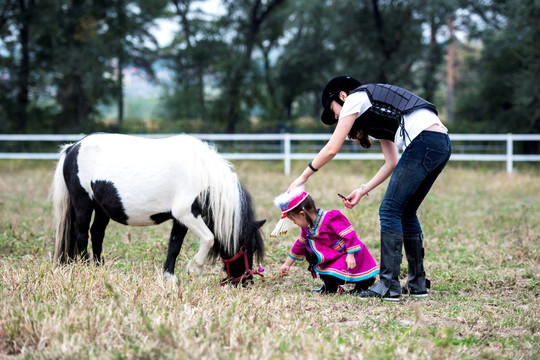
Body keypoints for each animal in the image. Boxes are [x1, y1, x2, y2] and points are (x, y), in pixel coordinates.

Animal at [50, 132, 266, 284]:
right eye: (247, 247)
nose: (246, 282)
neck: (202, 174)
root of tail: (73, 147)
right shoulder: (187, 214)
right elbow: (209, 238)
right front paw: (194, 269)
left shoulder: (181, 219)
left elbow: (174, 247)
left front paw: (169, 277)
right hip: (83, 202)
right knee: (81, 234)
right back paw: (87, 267)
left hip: (102, 208)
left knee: (97, 233)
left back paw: (98, 267)